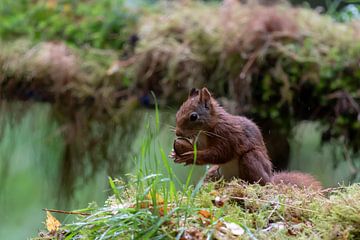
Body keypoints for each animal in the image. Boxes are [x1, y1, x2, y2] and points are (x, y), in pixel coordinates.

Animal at [171, 87, 320, 190]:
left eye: (193, 116)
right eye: (178, 112)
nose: (178, 133)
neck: (204, 131)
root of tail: (271, 179)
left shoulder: (227, 136)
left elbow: (220, 154)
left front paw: (191, 155)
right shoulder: (201, 142)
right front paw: (175, 154)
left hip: (251, 159)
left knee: (260, 182)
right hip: (216, 173)